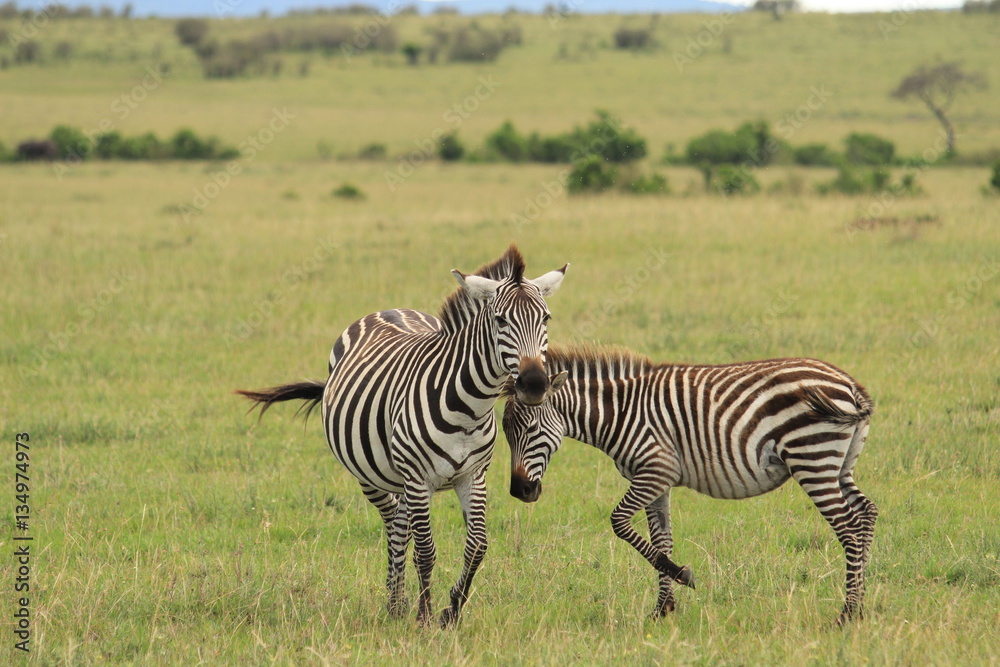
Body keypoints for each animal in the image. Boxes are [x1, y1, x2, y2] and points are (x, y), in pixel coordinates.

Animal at [237, 245, 568, 626]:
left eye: (546, 319)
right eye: (500, 320)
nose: (534, 384)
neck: (469, 410)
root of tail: (388, 310)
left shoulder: (473, 476)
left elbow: (477, 545)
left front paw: (452, 610)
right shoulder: (418, 477)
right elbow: (426, 550)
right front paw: (424, 616)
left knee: (401, 522)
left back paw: (398, 601)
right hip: (373, 476)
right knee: (394, 524)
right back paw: (396, 604)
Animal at [502, 345, 876, 625]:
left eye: (530, 429)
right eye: (506, 432)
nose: (520, 492)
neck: (620, 414)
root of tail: (849, 384)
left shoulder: (655, 471)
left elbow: (619, 522)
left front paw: (683, 576)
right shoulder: (657, 480)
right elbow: (661, 540)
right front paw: (663, 609)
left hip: (812, 458)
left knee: (848, 526)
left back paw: (847, 613)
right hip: (839, 465)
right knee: (866, 513)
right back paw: (861, 605)